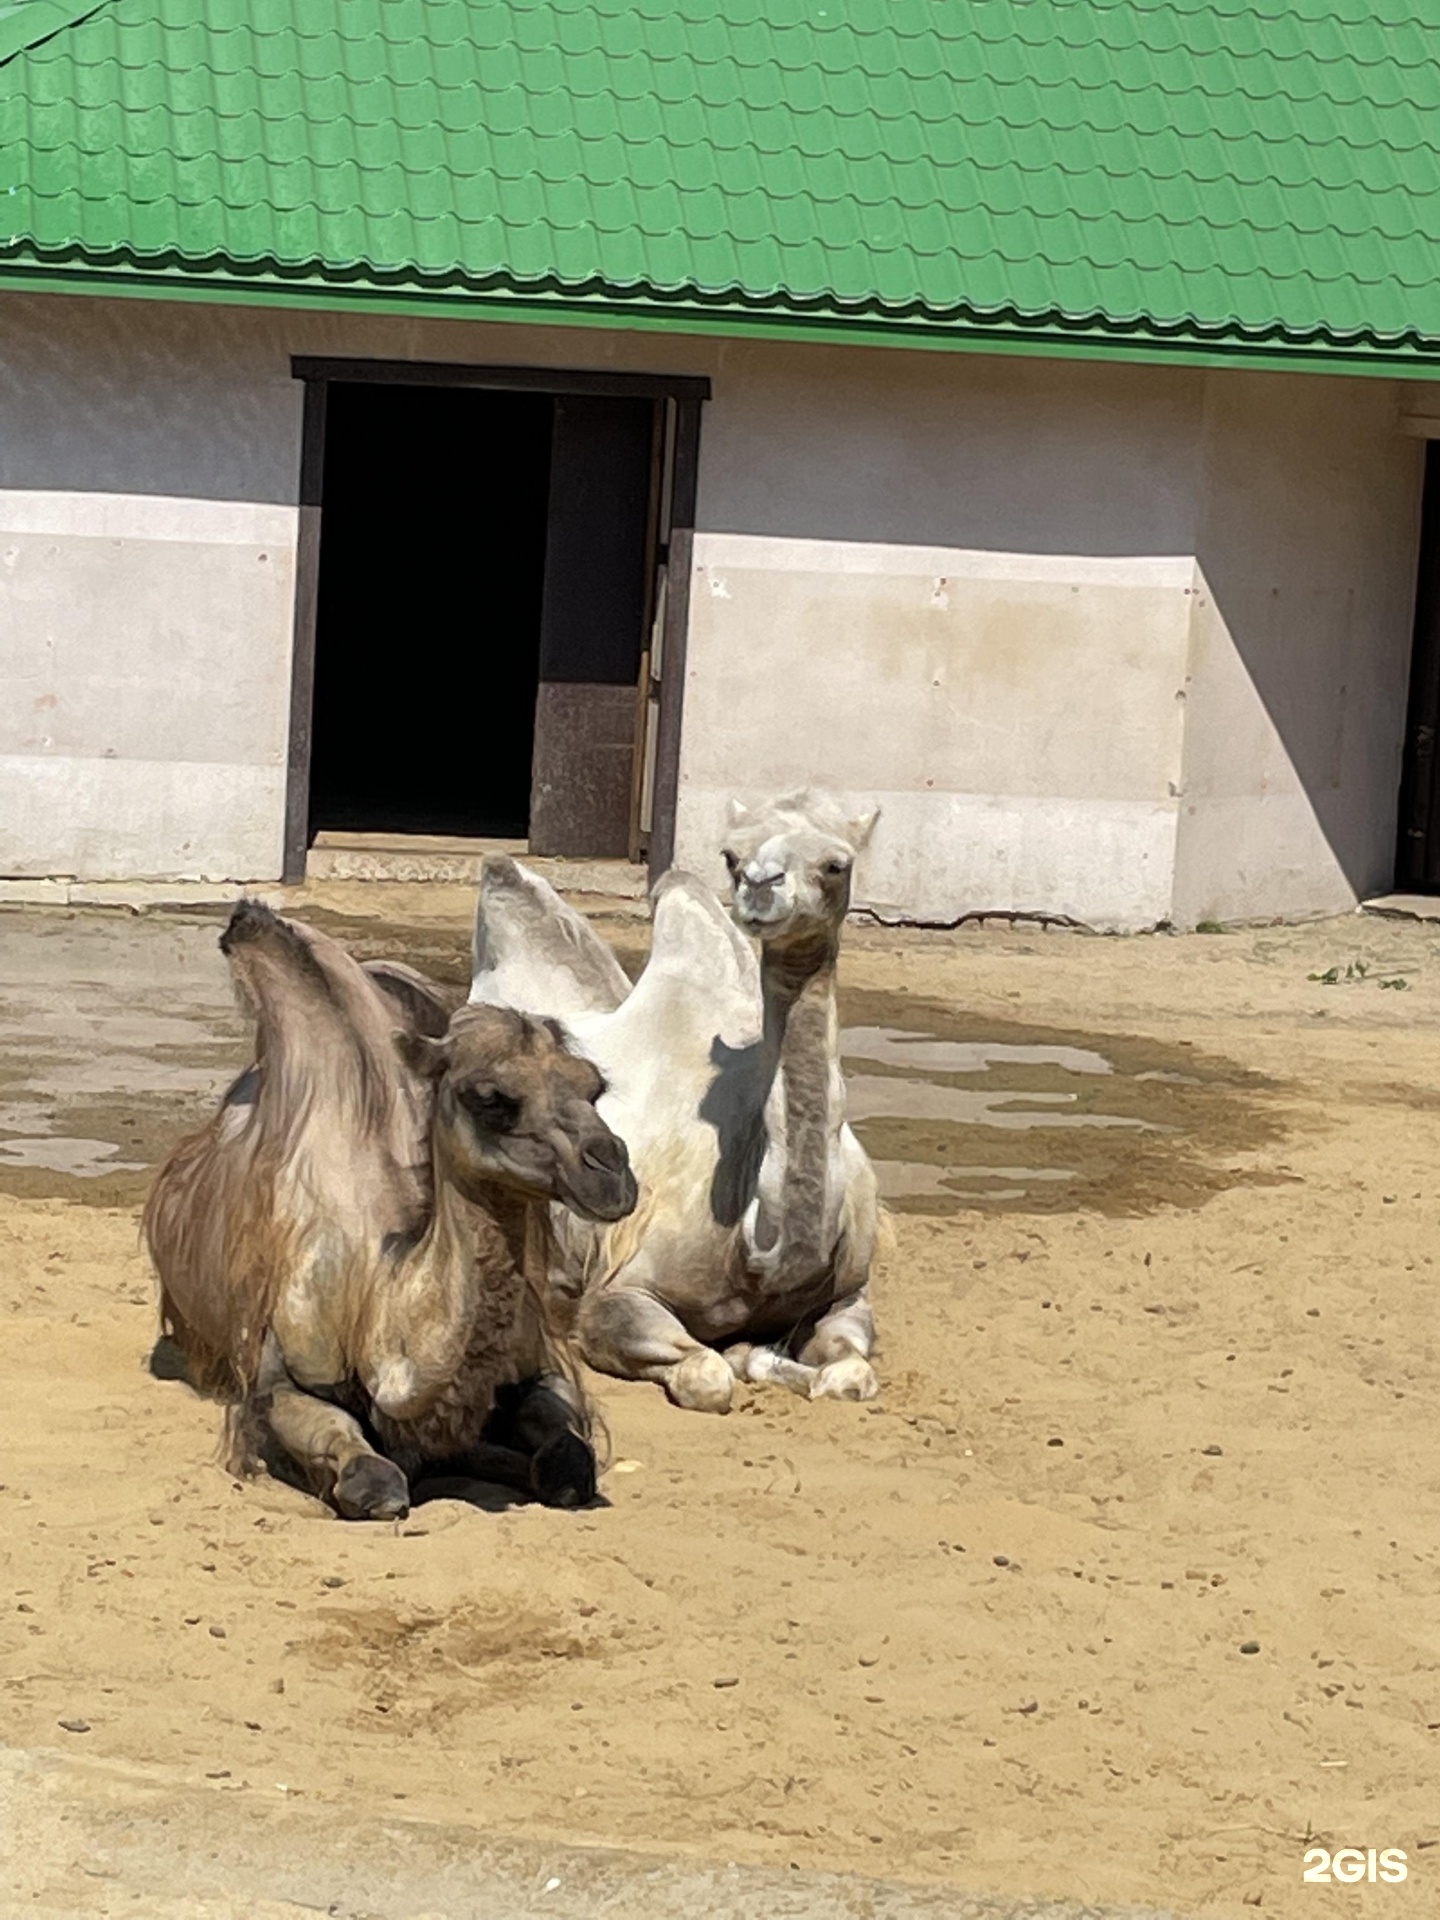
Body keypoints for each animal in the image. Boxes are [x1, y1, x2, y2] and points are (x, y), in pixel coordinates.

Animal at [146, 894, 637, 1512]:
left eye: (593, 1085)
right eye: (489, 1097)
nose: (613, 1173)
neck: (375, 1290)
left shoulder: (541, 1364)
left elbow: (567, 1461)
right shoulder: (278, 1374)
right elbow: (369, 1473)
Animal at [468, 787, 887, 1420]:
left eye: (836, 863)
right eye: (731, 857)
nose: (760, 885)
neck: (759, 1252)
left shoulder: (851, 1292)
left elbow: (850, 1372)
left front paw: (768, 1357)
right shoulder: (621, 1289)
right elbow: (706, 1374)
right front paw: (741, 1357)